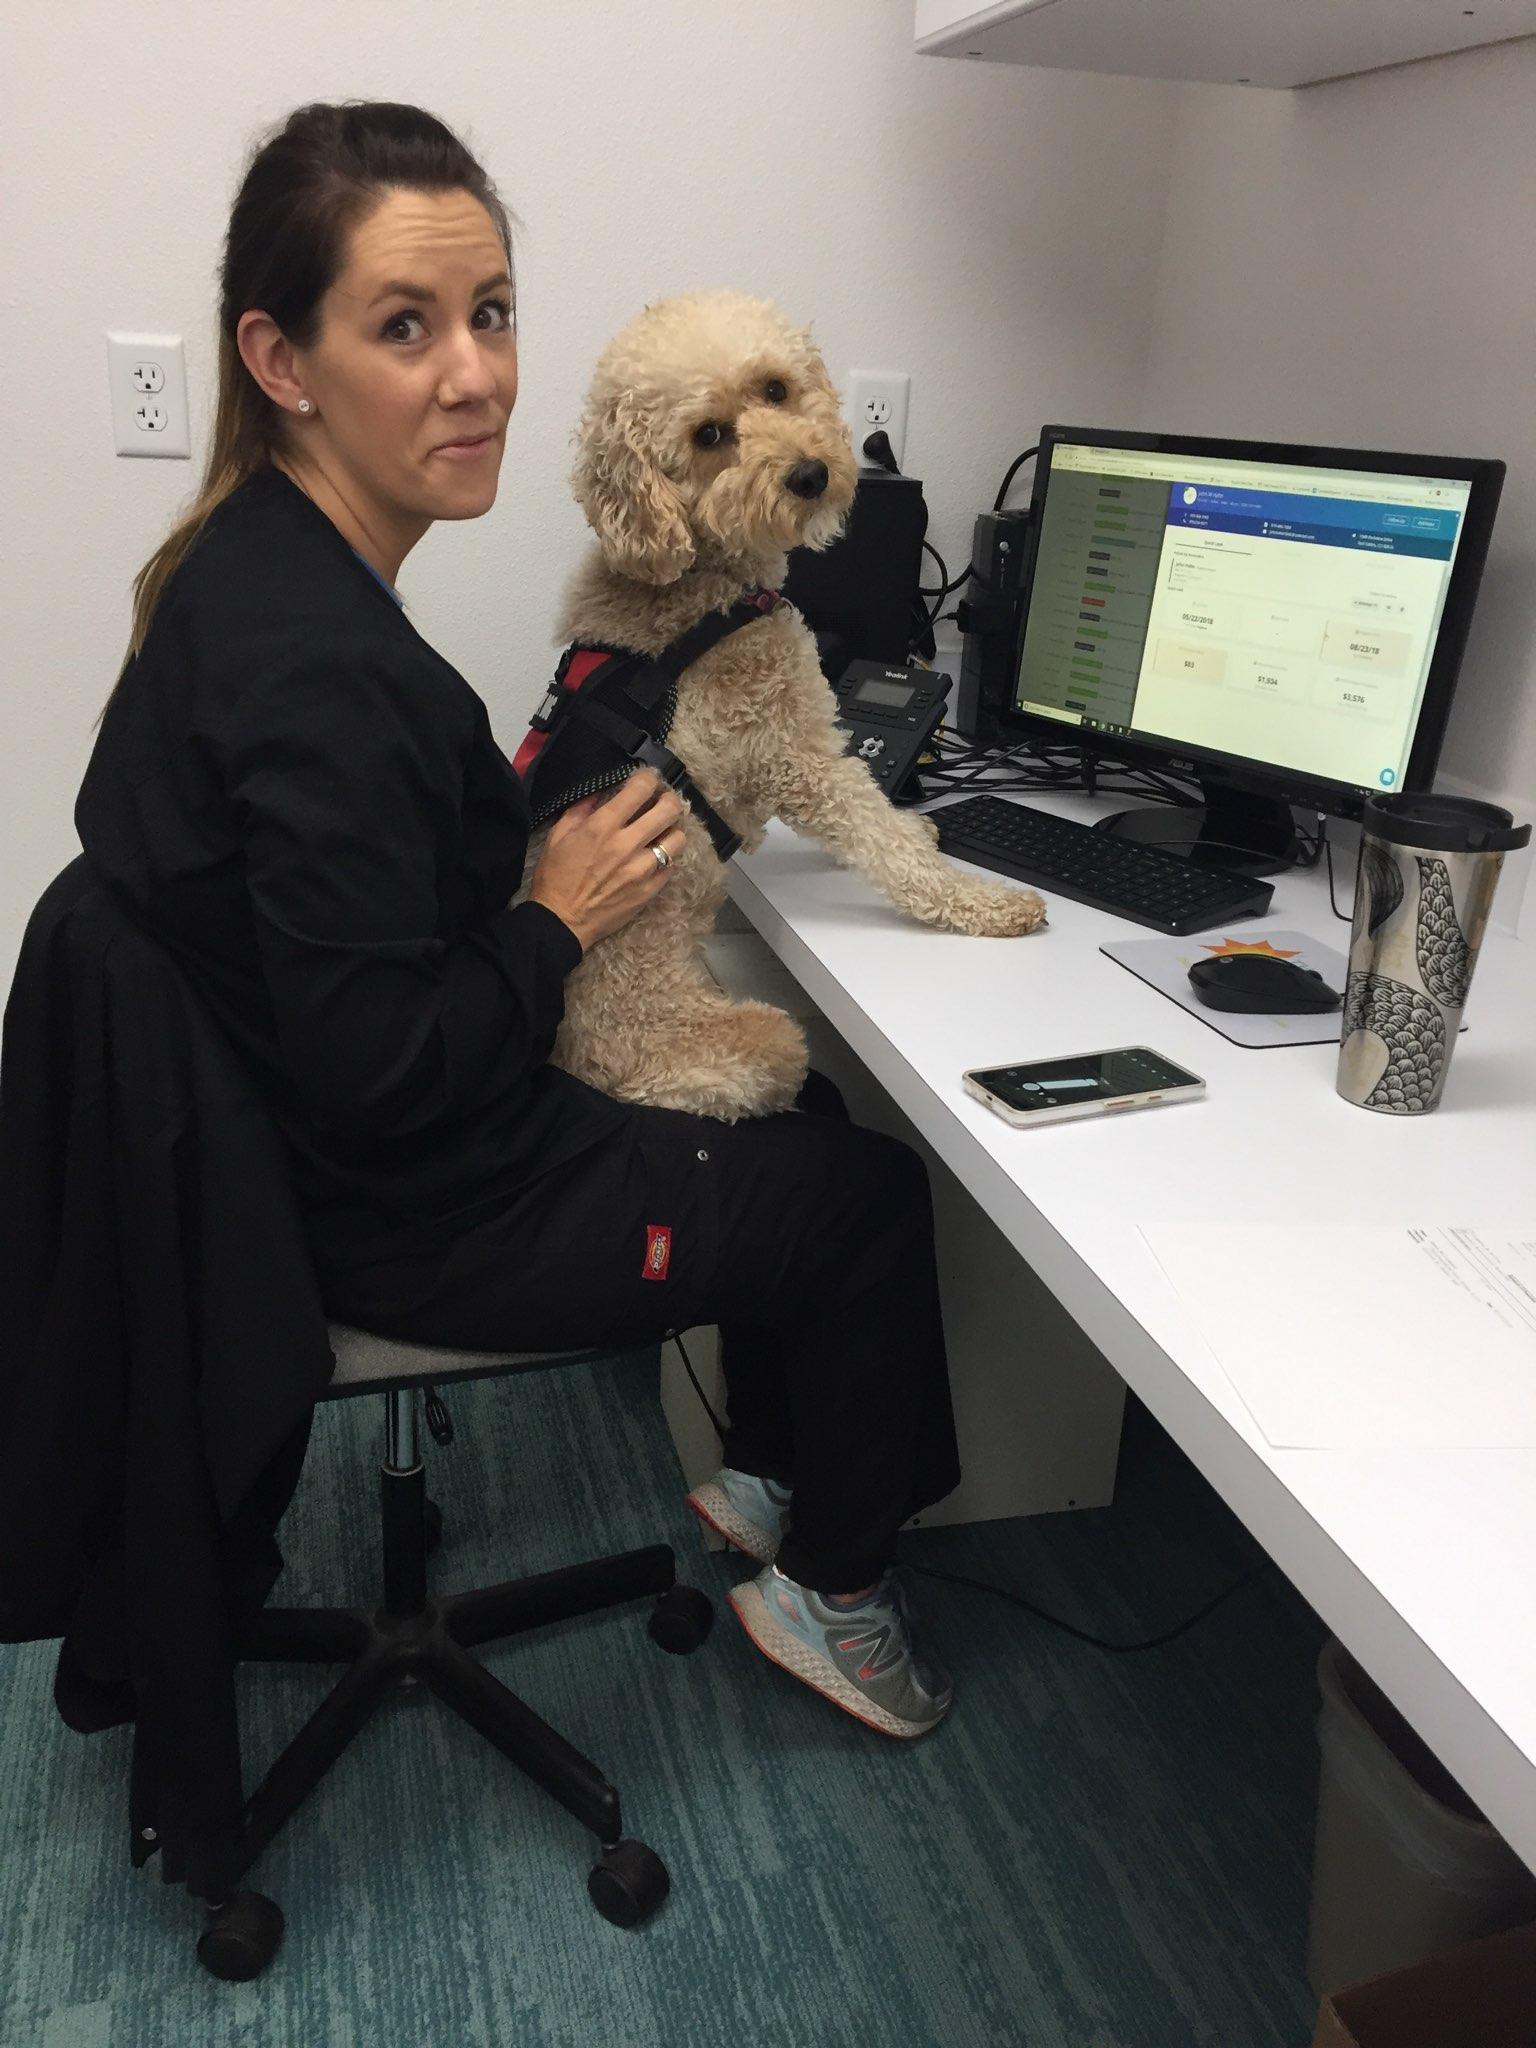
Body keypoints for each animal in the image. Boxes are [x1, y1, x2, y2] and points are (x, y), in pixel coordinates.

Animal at [528, 288, 1048, 1122]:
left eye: (775, 388)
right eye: (709, 435)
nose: (810, 473)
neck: (704, 578)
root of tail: (580, 1065)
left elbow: (885, 818)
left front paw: (920, 824)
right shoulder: (796, 754)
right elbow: (881, 840)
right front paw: (987, 903)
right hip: (767, 1041)